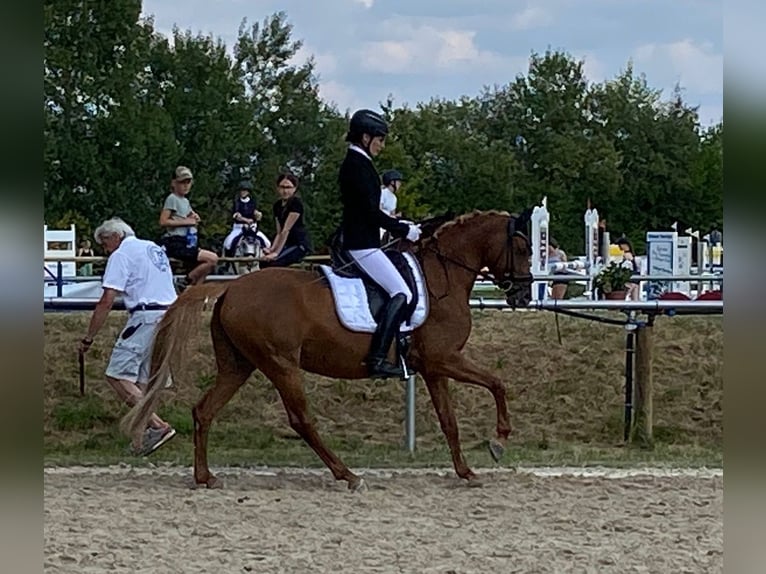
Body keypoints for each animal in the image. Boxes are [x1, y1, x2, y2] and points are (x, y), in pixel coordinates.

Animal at [124, 210, 536, 490]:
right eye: (521, 246)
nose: (522, 294)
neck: (443, 278)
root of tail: (230, 288)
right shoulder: (445, 359)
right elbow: (497, 383)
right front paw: (499, 441)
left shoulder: (434, 368)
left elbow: (450, 421)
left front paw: (466, 471)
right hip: (281, 365)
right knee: (301, 420)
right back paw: (347, 475)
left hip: (238, 365)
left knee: (204, 411)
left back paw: (205, 477)